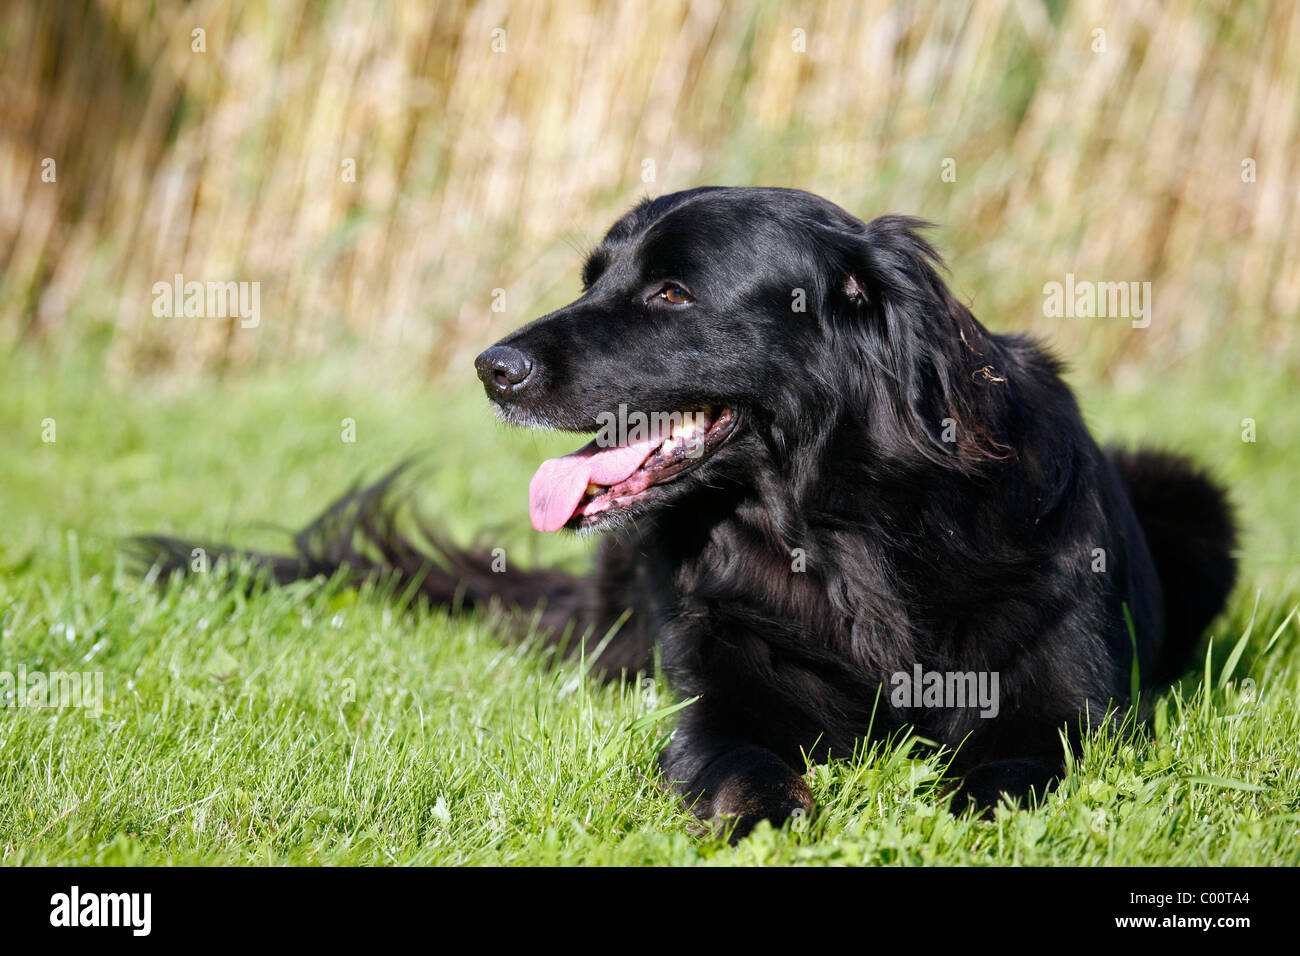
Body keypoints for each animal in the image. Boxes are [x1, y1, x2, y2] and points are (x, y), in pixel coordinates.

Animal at [137, 184, 1232, 837]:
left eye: (671, 292)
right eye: (594, 279)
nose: (492, 366)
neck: (838, 533)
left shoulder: (1067, 707)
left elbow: (1004, 775)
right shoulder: (727, 691)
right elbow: (738, 762)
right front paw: (766, 819)